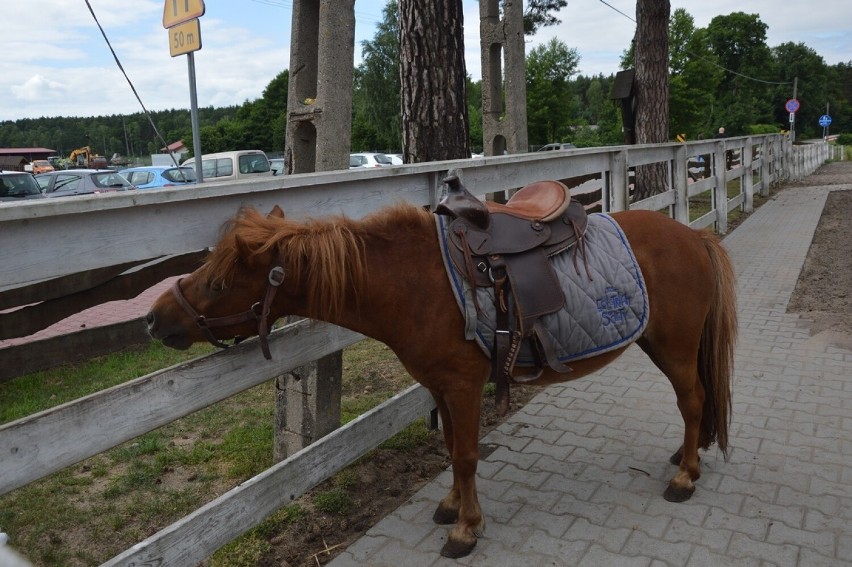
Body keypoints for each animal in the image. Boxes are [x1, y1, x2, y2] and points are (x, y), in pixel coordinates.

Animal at [143, 201, 736, 560]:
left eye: (219, 283)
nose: (153, 319)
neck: (412, 283)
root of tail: (694, 235)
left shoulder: (463, 387)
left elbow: (468, 455)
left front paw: (466, 529)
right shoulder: (439, 388)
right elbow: (450, 448)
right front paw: (451, 507)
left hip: (674, 347)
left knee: (692, 400)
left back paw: (684, 476)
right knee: (698, 403)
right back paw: (689, 457)